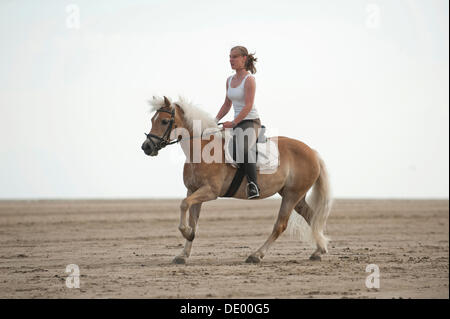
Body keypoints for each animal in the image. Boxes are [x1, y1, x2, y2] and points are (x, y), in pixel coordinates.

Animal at [142, 95, 332, 264]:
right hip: (295, 196)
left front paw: (186, 233)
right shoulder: (193, 191)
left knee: (280, 225)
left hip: (292, 195)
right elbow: (192, 219)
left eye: (164, 121)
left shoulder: (210, 192)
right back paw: (319, 251)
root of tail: (312, 151)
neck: (201, 149)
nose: (146, 147)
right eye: (152, 119)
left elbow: (183, 204)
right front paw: (183, 253)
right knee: (311, 217)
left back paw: (256, 255)